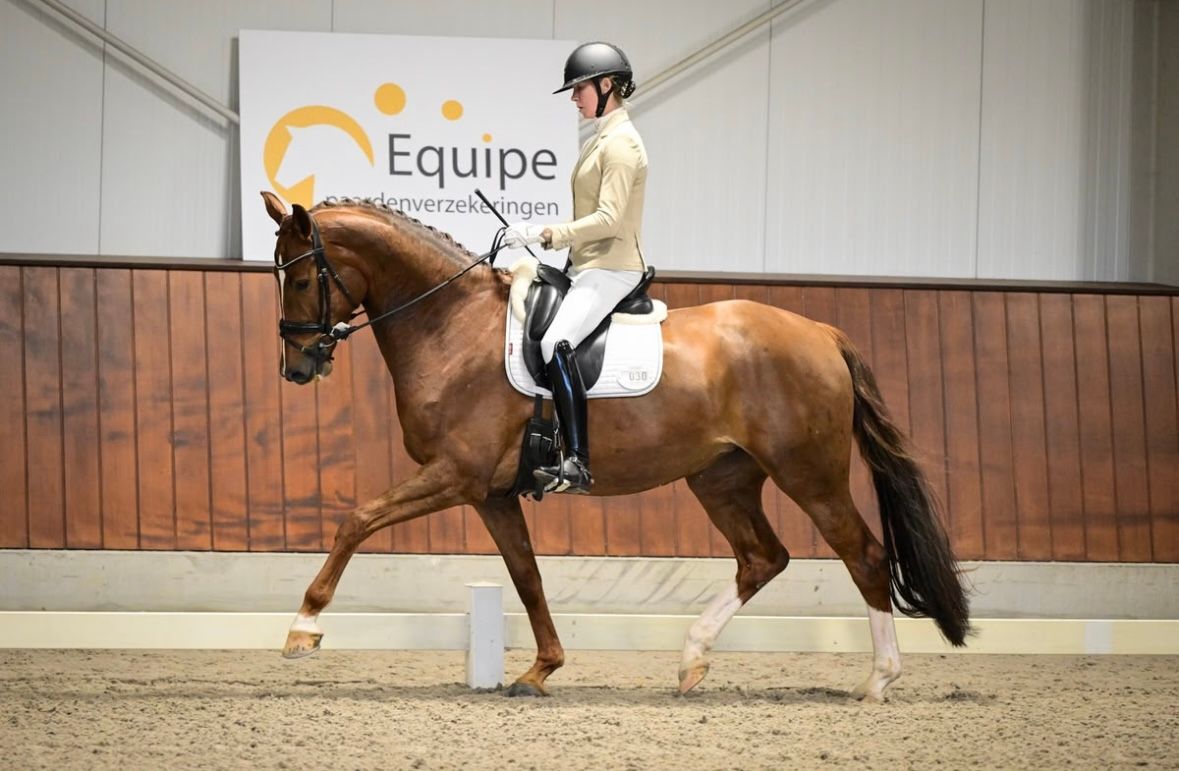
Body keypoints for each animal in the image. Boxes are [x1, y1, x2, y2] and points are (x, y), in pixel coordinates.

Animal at [261, 191, 971, 701]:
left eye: (303, 279)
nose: (296, 368)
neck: (452, 326)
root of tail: (821, 331)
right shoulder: (490, 494)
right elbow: (527, 576)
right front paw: (541, 670)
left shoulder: (455, 475)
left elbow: (357, 519)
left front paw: (303, 627)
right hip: (721, 478)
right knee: (761, 559)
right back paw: (691, 661)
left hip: (809, 475)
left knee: (864, 556)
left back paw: (877, 681)